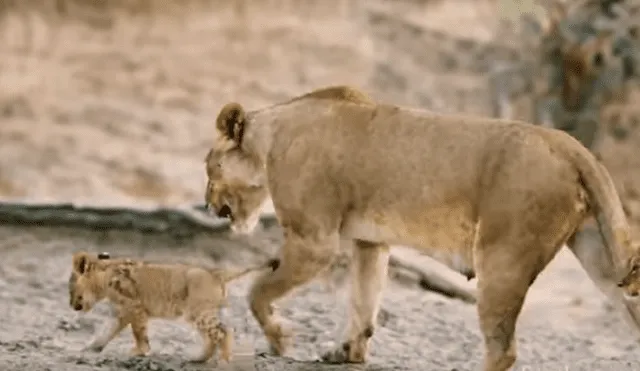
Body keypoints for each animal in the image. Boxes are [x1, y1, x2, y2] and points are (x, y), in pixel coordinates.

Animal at [67, 251, 278, 364]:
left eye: (71, 287)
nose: (71, 305)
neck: (106, 276)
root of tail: (216, 273)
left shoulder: (135, 308)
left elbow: (139, 332)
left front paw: (140, 351)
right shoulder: (120, 312)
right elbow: (106, 330)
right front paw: (91, 348)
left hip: (199, 311)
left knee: (223, 332)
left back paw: (224, 361)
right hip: (198, 313)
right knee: (213, 336)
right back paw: (198, 359)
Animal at [204, 85, 640, 371]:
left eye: (210, 167)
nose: (207, 204)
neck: (272, 137)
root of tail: (573, 146)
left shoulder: (314, 242)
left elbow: (258, 291)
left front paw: (281, 339)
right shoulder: (370, 243)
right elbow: (362, 301)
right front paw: (347, 354)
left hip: (503, 260)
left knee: (503, 349)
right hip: (601, 259)